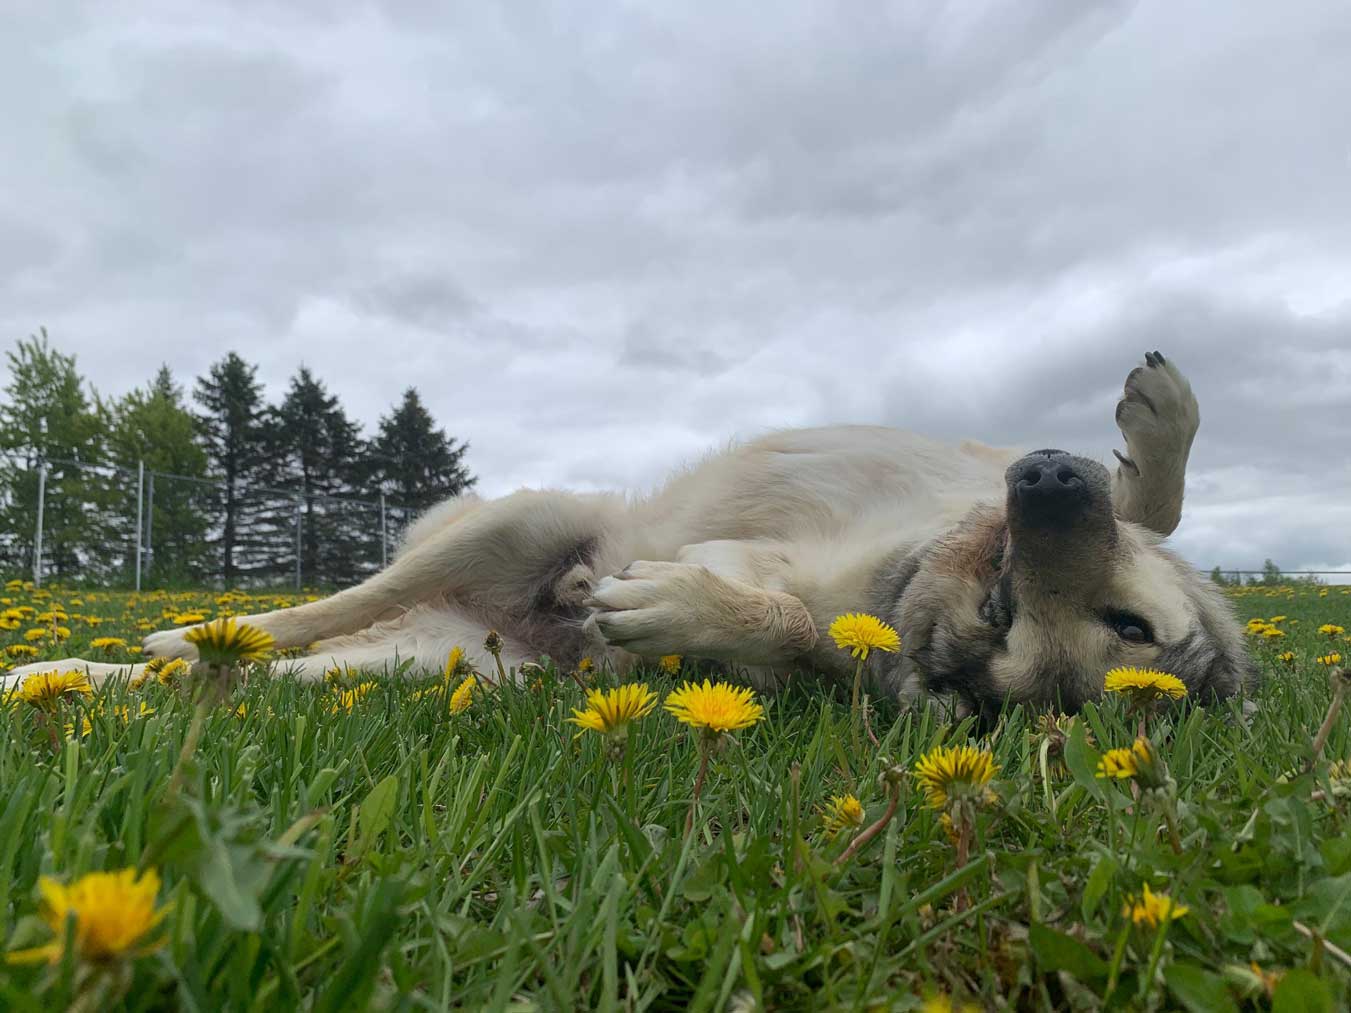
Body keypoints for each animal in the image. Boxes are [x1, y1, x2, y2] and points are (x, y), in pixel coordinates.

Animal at [5, 353, 1259, 718]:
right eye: (1002, 605)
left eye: (1119, 627)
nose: (1045, 484)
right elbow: (1155, 502)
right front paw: (1157, 431)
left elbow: (785, 622)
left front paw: (690, 611)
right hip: (522, 522)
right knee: (303, 614)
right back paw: (176, 634)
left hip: (428, 668)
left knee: (254, 674)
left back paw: (81, 673)